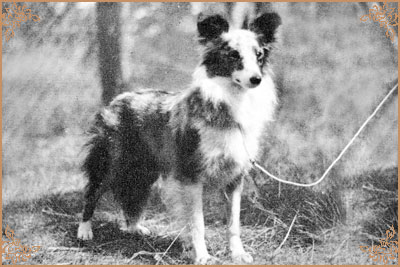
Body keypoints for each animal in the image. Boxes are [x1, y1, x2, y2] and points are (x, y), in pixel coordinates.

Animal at [76, 11, 280, 264]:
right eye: (234, 55)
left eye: (259, 55)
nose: (256, 79)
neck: (230, 102)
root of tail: (118, 99)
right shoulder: (191, 176)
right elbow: (197, 223)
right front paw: (202, 256)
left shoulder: (234, 177)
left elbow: (234, 223)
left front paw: (238, 254)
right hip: (112, 163)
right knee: (92, 192)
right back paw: (84, 231)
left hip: (144, 171)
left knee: (133, 199)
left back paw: (135, 228)